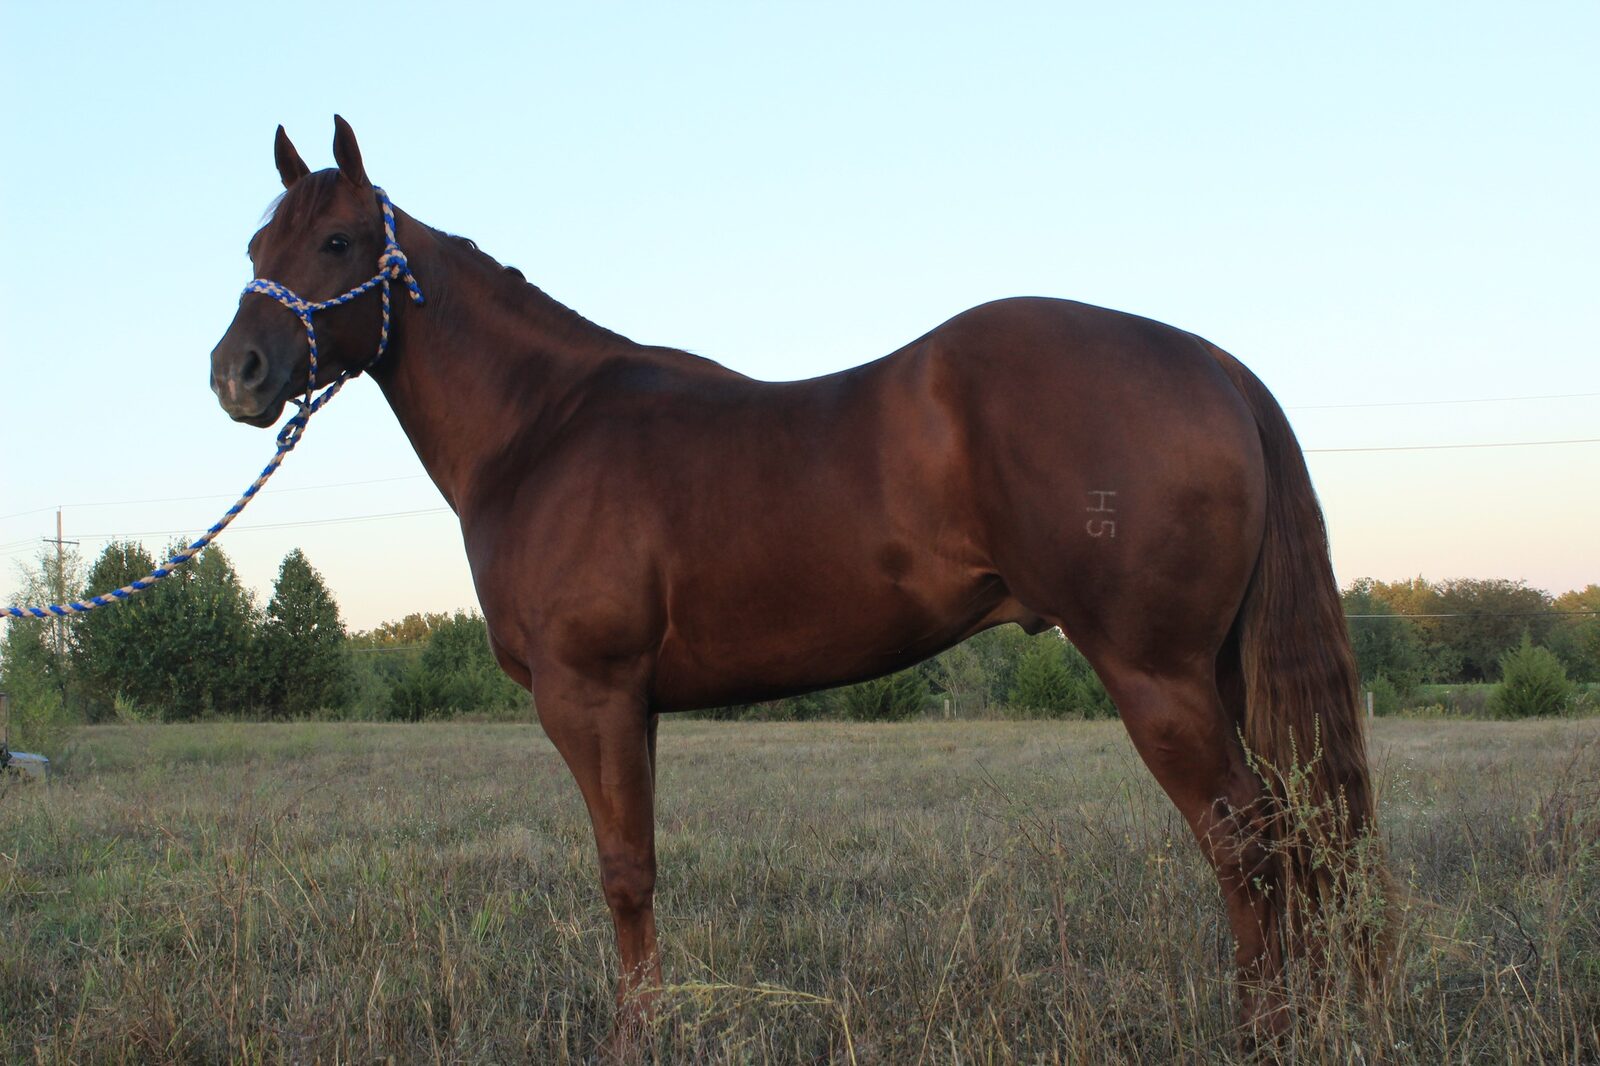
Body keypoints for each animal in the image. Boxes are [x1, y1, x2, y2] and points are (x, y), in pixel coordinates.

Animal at [210, 117, 1380, 1038]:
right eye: (258, 243)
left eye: (339, 240)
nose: (238, 373)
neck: (545, 427)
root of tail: (1213, 364)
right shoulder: (634, 706)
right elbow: (642, 869)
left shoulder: (588, 695)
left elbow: (621, 874)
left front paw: (634, 1038)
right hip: (1216, 672)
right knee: (1294, 833)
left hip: (1156, 675)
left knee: (1246, 840)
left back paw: (1263, 1029)